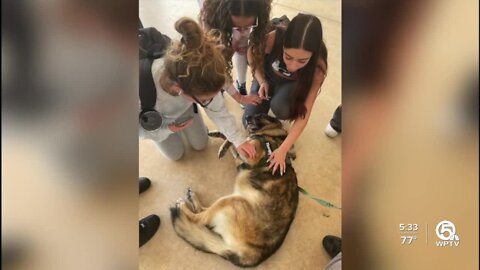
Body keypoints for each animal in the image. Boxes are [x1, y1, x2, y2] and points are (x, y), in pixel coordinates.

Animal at [169, 114, 296, 268]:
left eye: (260, 115)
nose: (246, 116)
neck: (271, 134)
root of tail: (250, 255)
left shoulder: (249, 156)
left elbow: (237, 141)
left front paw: (226, 142)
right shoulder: (241, 156)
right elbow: (234, 139)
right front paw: (221, 137)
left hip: (232, 200)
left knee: (199, 219)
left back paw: (183, 206)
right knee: (202, 212)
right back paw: (192, 198)